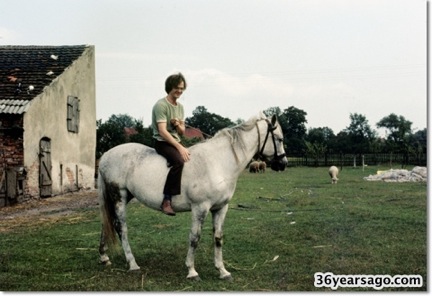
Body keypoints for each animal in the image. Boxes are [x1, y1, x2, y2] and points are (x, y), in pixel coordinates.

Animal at [98, 112, 286, 280]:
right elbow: (194, 238)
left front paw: (222, 271)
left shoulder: (220, 208)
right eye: (279, 139)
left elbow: (218, 238)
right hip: (119, 196)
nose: (283, 164)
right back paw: (132, 263)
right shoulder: (200, 208)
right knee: (121, 227)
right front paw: (192, 271)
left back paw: (104, 257)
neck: (217, 162)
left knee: (107, 223)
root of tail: (105, 156)